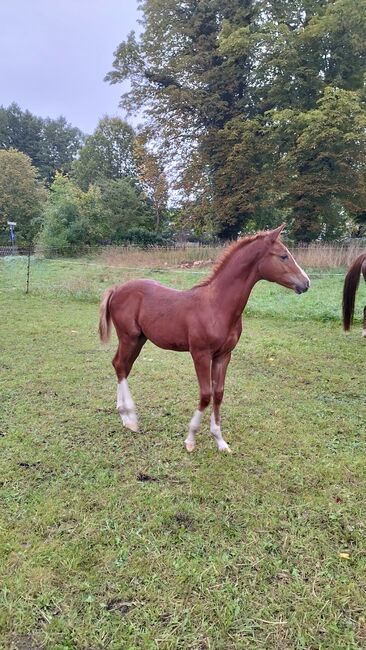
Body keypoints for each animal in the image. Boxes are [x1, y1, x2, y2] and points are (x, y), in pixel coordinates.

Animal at [99, 223, 308, 450]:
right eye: (284, 256)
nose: (306, 283)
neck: (217, 305)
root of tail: (116, 289)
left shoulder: (223, 355)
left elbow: (218, 393)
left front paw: (220, 440)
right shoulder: (200, 354)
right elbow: (206, 394)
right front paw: (191, 439)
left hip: (139, 339)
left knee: (121, 366)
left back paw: (124, 415)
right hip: (128, 337)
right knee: (120, 365)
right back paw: (130, 419)